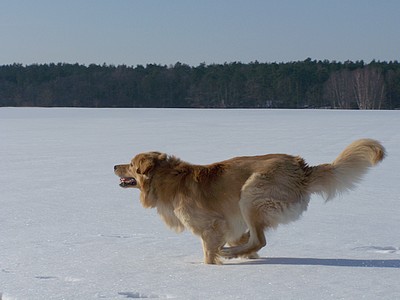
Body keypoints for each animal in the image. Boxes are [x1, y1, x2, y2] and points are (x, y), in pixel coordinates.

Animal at [113, 139, 384, 264]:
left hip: (251, 195)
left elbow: (209, 252)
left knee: (259, 239)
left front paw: (210, 266)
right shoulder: (231, 225)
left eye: (131, 164)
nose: (114, 165)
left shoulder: (212, 225)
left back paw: (229, 254)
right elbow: (240, 239)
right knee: (255, 240)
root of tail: (301, 168)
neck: (168, 179)